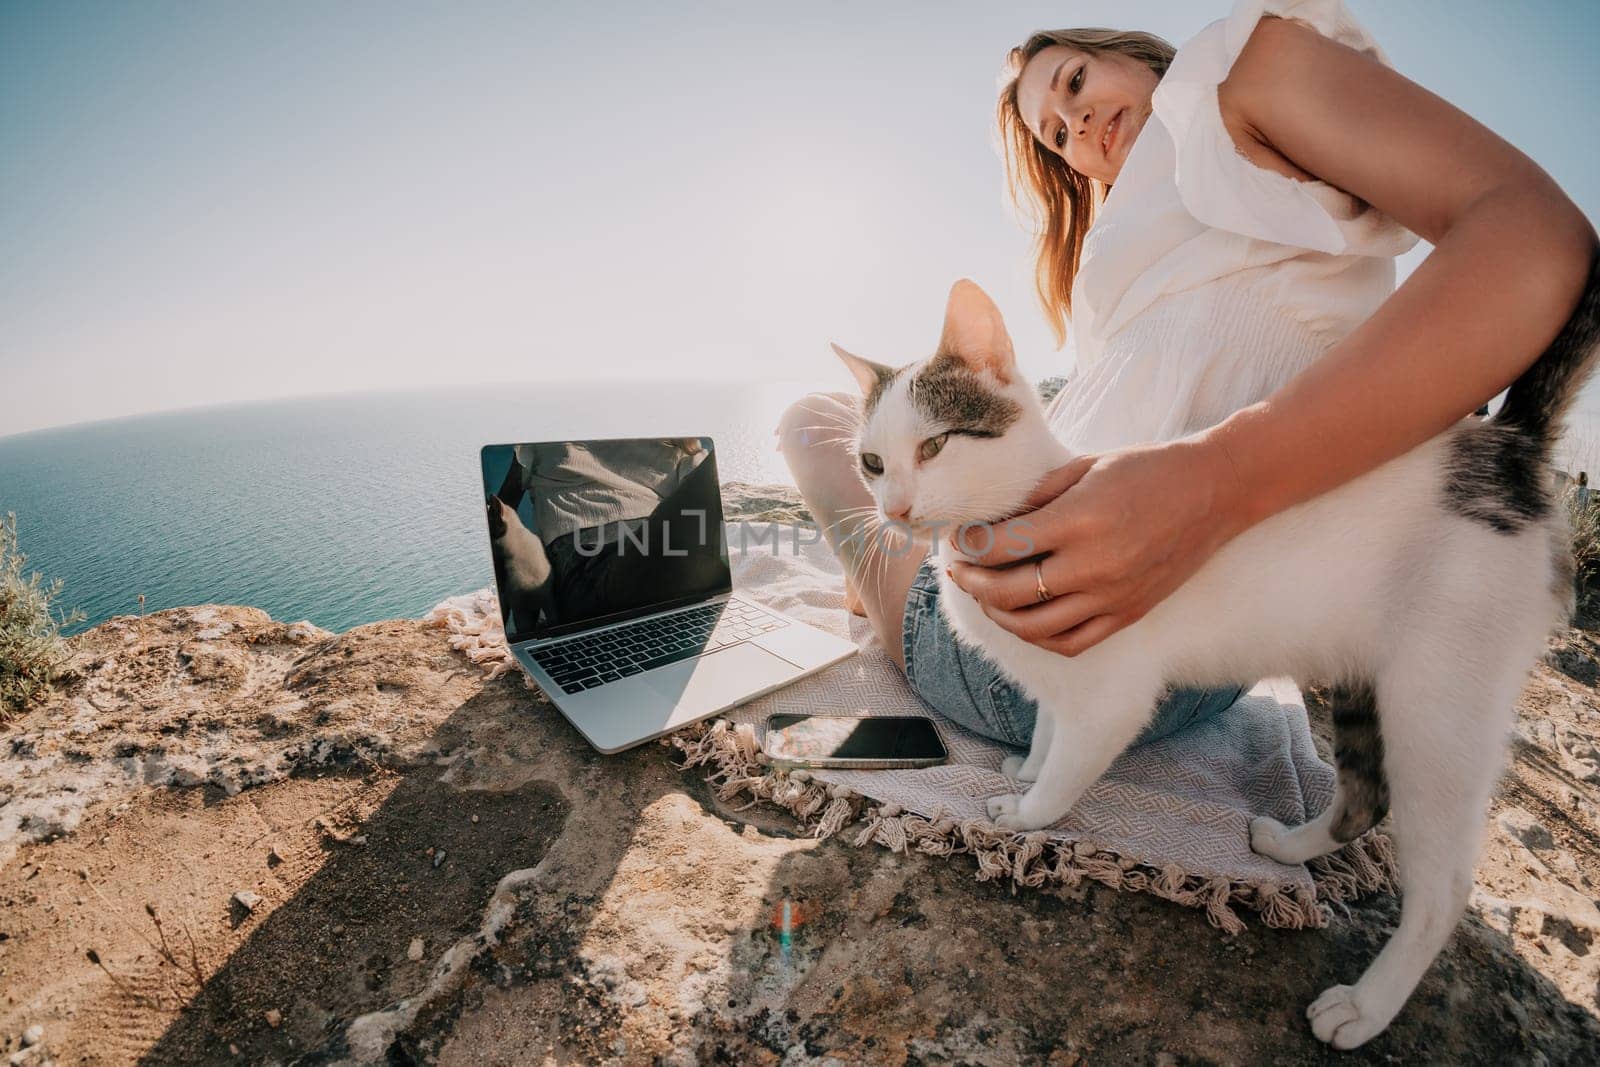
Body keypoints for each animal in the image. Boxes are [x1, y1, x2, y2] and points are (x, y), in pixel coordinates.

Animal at [838, 275, 1600, 1049]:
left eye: (935, 444)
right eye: (873, 463)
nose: (895, 507)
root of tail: (1509, 447)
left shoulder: (1113, 692)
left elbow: (1069, 768)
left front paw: (1027, 812)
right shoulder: (1063, 666)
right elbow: (1050, 727)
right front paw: (1028, 768)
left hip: (1436, 701)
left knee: (1442, 883)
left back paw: (1366, 1005)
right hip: (1367, 675)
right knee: (1365, 797)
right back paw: (1291, 848)